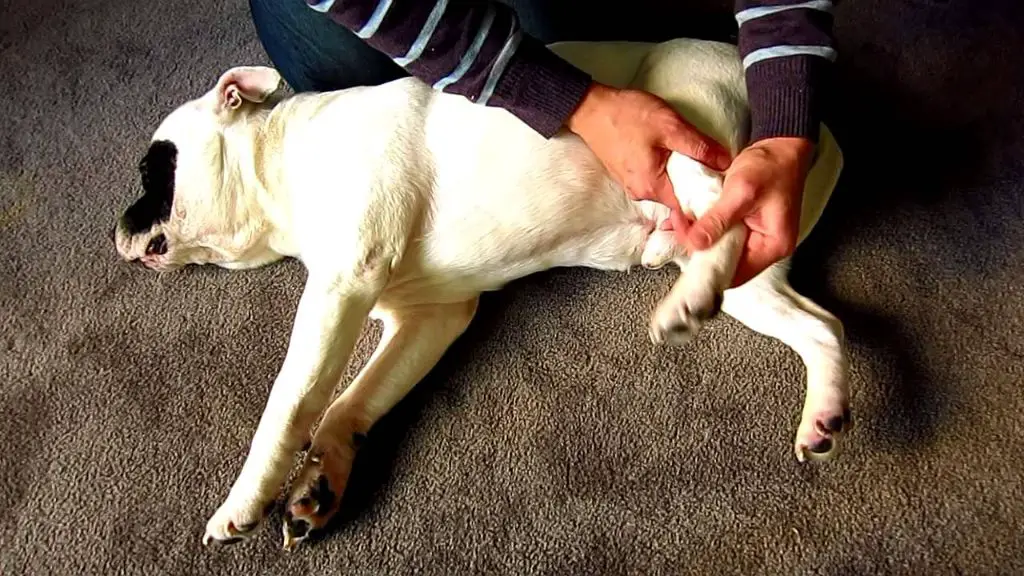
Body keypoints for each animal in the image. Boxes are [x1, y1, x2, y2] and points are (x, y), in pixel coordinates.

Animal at [112, 38, 847, 549]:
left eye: (153, 168)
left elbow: (290, 402)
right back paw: (823, 410)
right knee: (820, 325)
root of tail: (818, 129)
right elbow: (349, 404)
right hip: (754, 277)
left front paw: (245, 499)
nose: (115, 227)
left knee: (722, 218)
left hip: (680, 131)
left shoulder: (340, 286)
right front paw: (321, 479)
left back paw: (685, 303)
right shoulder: (426, 320)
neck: (282, 158)